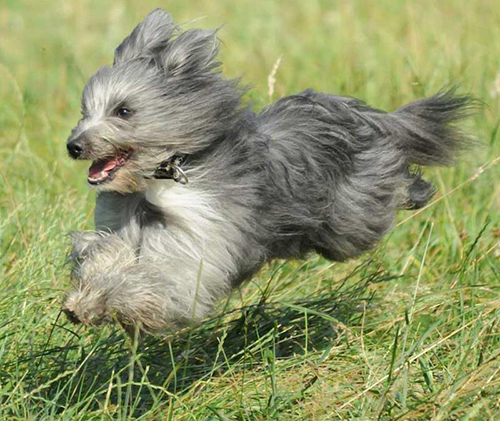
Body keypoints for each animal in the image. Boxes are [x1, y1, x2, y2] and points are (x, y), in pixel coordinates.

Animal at [62, 8, 472, 334]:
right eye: (85, 111)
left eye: (123, 111)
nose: (74, 146)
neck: (166, 173)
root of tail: (367, 114)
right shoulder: (123, 228)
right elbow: (104, 255)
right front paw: (84, 301)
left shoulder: (201, 243)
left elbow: (166, 280)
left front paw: (118, 302)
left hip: (351, 219)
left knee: (388, 195)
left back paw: (415, 188)